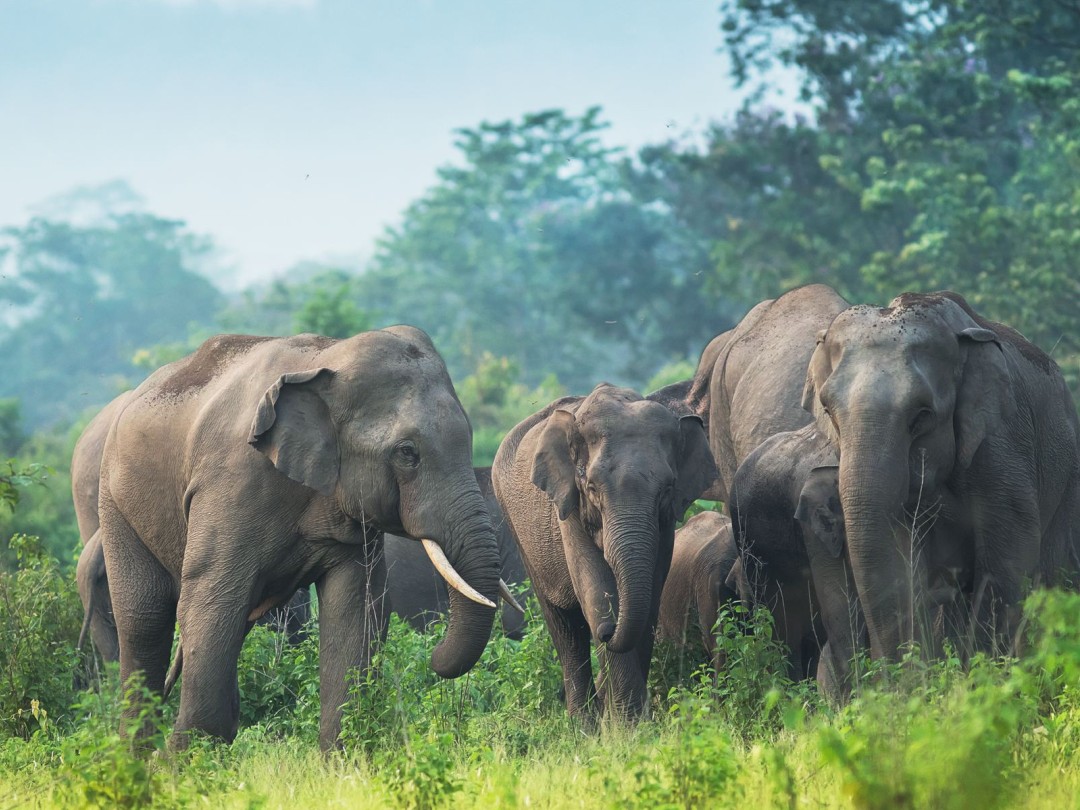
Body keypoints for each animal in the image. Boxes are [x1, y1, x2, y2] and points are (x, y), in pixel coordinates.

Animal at [96, 327, 503, 750]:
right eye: (407, 453)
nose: (433, 657)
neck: (327, 359)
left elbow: (355, 607)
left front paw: (342, 758)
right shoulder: (229, 484)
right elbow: (212, 596)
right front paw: (185, 760)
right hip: (116, 504)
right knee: (146, 620)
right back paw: (137, 755)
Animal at [493, 383, 718, 719]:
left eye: (666, 489)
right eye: (592, 488)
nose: (607, 631)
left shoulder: (665, 523)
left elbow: (650, 599)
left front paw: (631, 721)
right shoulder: (568, 507)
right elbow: (595, 592)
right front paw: (628, 725)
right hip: (516, 527)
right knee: (566, 629)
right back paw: (583, 725)